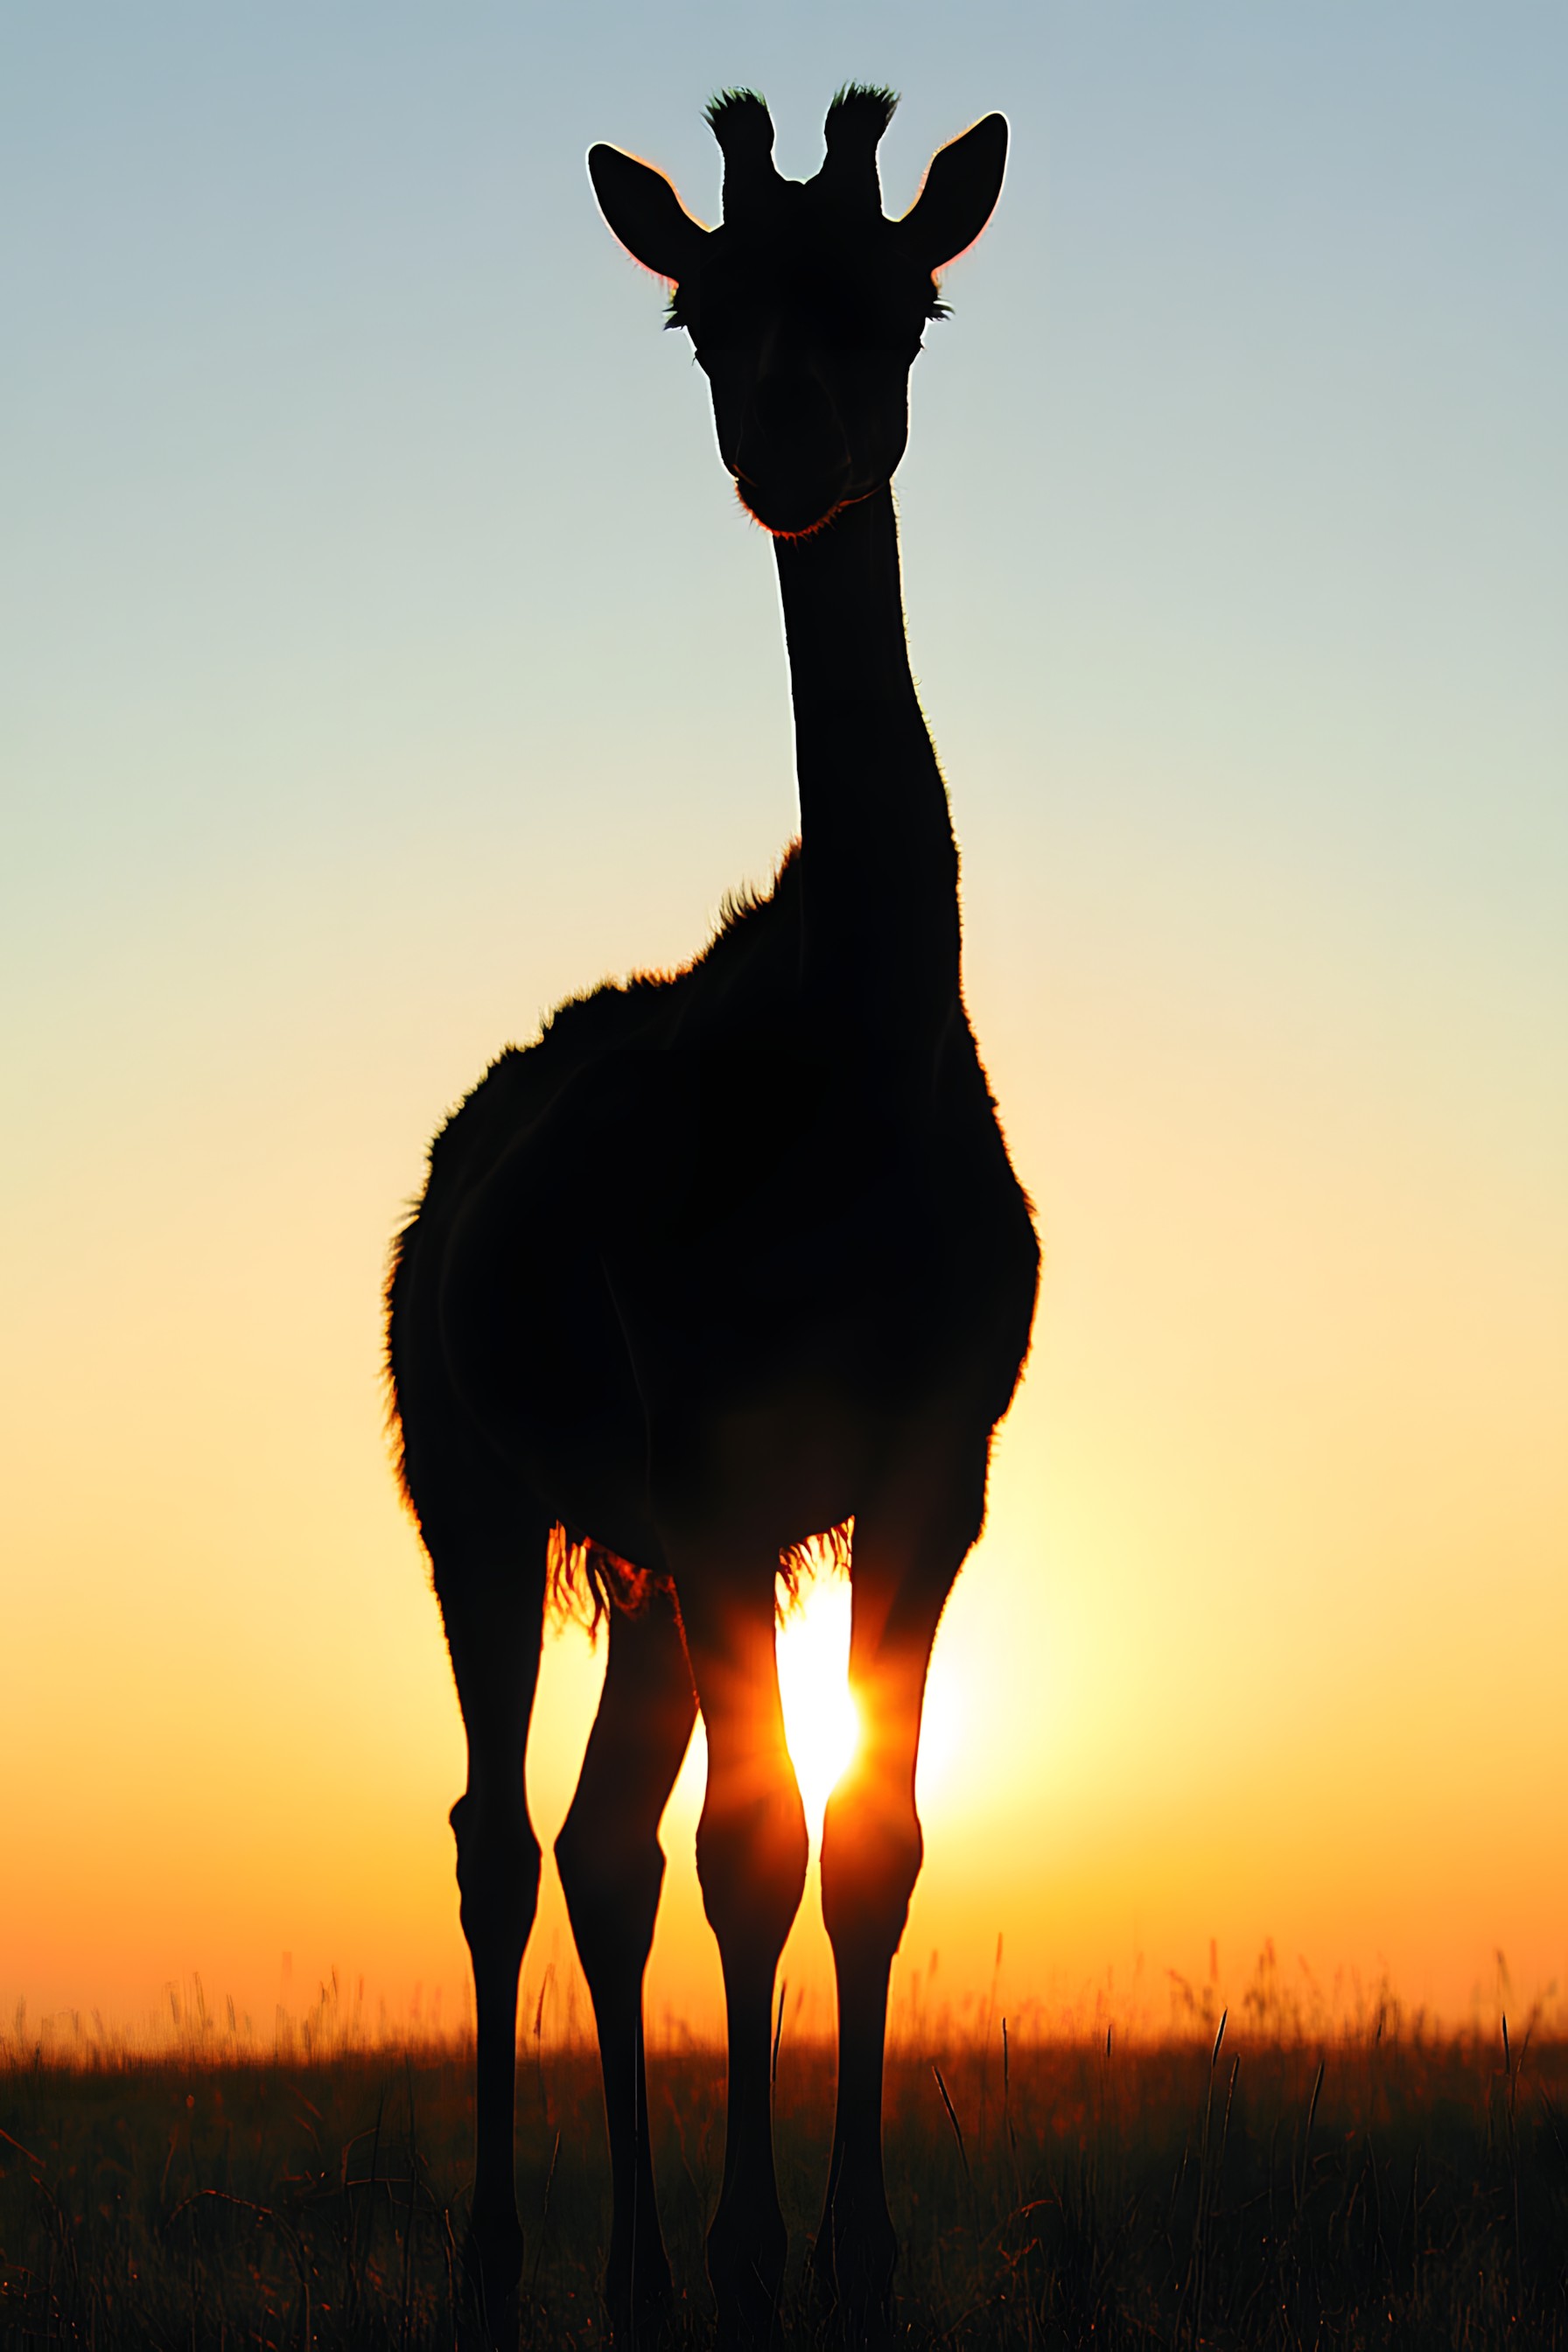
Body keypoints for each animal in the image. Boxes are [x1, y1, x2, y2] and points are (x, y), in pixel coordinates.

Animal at [385, 82, 1034, 2342]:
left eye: (906, 298)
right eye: (699, 316)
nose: (789, 459)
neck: (858, 1085)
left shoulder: (929, 1467)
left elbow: (870, 1839)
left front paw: (850, 2264)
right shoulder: (716, 1463)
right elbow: (763, 1849)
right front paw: (775, 2258)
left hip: (650, 1556)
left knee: (602, 1841)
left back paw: (635, 2280)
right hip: (477, 1486)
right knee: (501, 1835)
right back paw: (505, 2271)